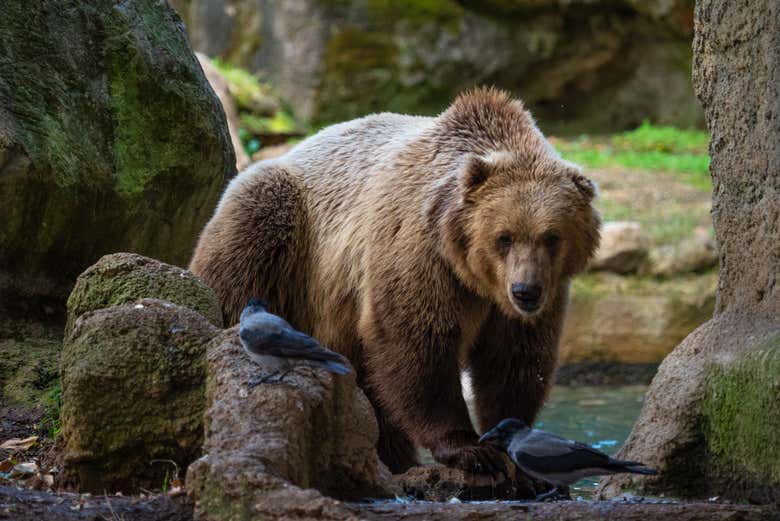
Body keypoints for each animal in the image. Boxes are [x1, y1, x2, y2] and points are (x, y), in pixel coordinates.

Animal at [189, 88, 600, 476]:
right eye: (504, 237)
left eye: (552, 237)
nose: (525, 292)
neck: (472, 274)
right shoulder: (418, 249)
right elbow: (417, 340)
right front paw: (469, 449)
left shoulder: (536, 296)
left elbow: (513, 359)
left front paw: (513, 448)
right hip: (286, 234)